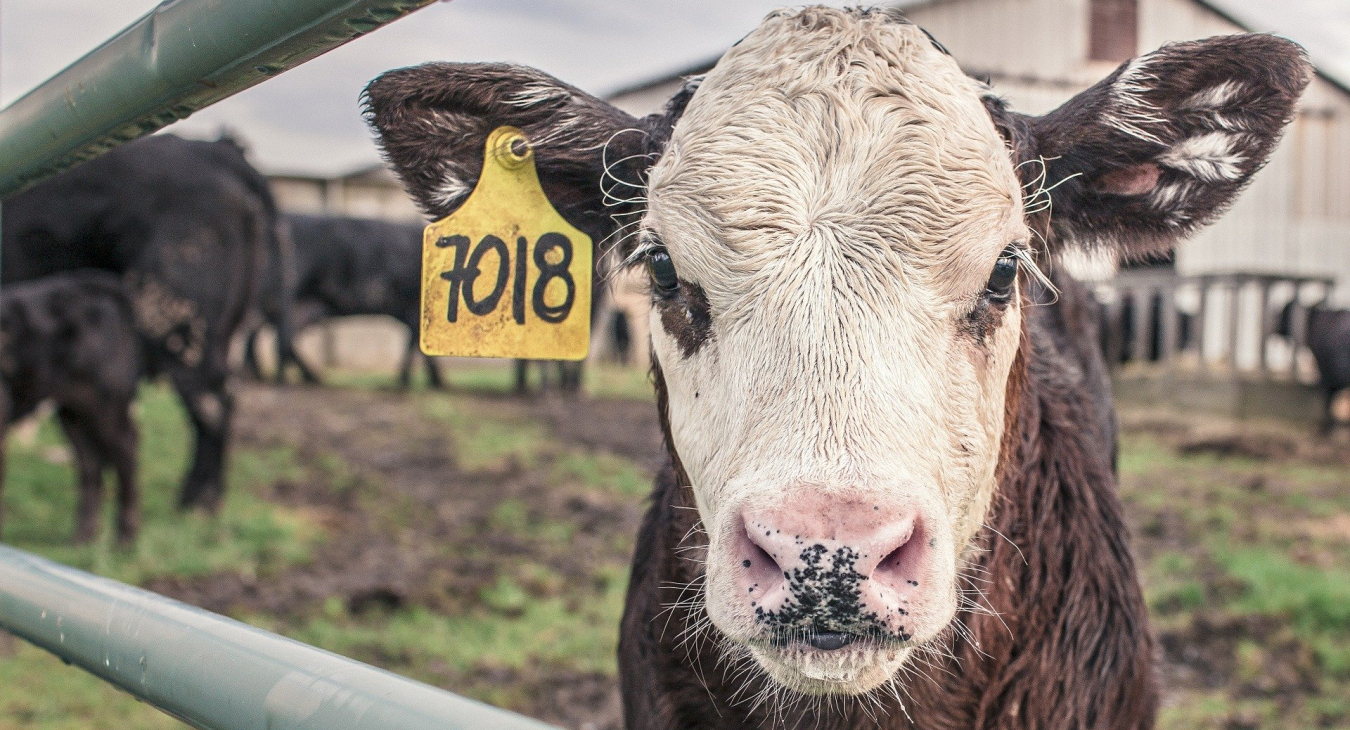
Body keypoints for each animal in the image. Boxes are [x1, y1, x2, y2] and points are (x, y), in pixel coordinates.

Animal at [0, 271, 142, 544]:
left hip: (106, 402)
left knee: (125, 451)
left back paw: (125, 538)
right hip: (73, 410)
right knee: (90, 462)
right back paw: (83, 537)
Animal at [2, 133, 279, 511]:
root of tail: (214, 149)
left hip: (175, 321)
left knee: (211, 406)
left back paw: (197, 500)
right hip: (221, 331)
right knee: (224, 398)